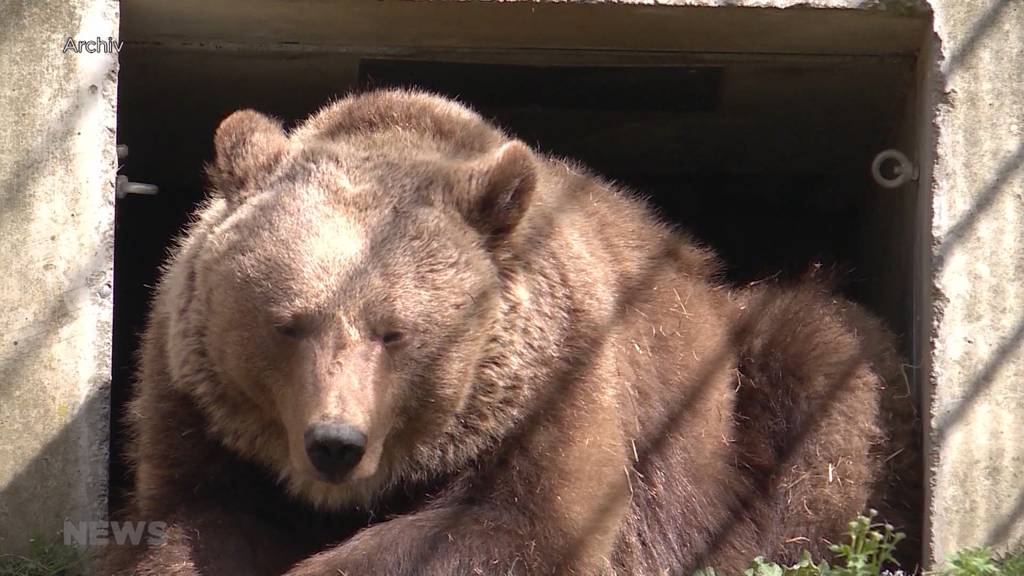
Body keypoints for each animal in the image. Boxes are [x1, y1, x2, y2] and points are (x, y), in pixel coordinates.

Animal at [103, 88, 921, 573]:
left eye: (394, 331)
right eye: (288, 324)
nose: (335, 444)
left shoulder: (560, 384)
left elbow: (518, 527)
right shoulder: (196, 410)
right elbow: (193, 521)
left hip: (730, 399)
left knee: (821, 365)